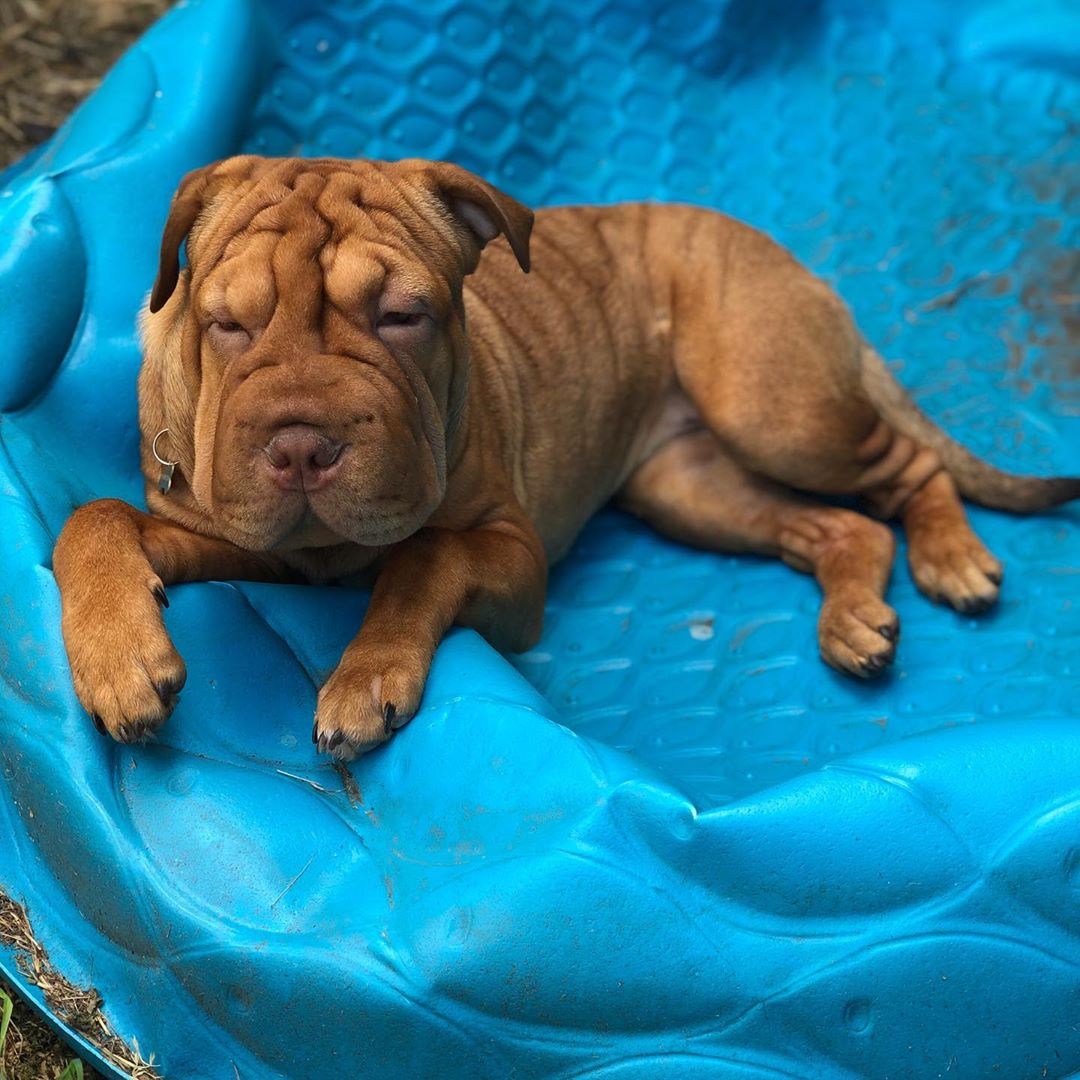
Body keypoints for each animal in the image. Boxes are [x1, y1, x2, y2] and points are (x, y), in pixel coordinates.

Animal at [52, 154, 1080, 760]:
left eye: (404, 315)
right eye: (226, 324)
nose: (304, 442)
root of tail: (770, 246)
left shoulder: (512, 562)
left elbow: (424, 558)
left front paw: (367, 676)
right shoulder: (235, 538)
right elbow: (92, 519)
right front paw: (119, 658)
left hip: (776, 409)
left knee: (908, 469)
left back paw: (952, 557)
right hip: (693, 485)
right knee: (841, 528)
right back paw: (855, 615)